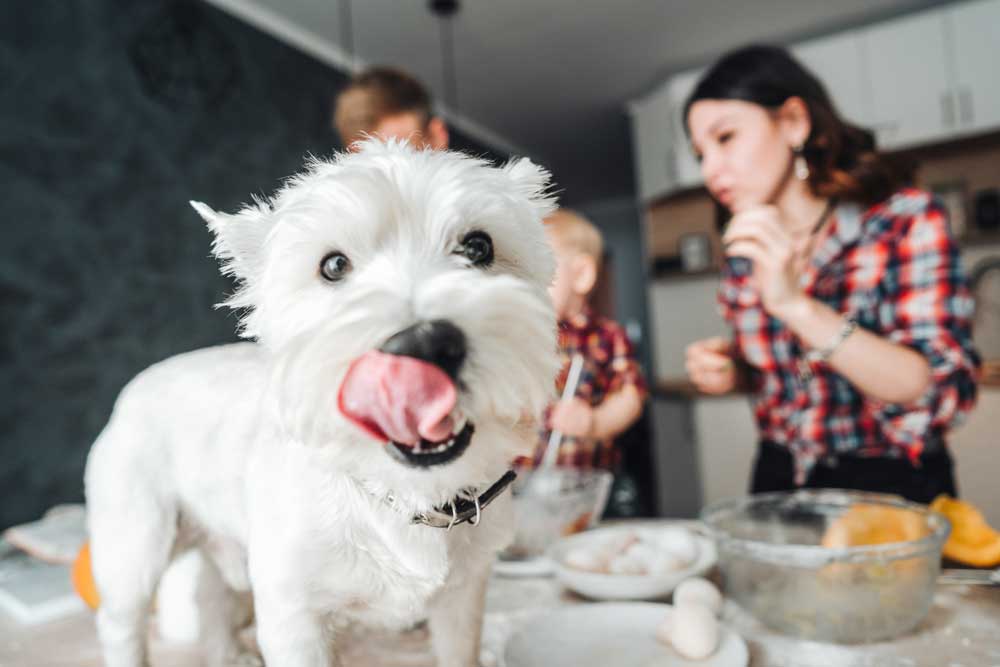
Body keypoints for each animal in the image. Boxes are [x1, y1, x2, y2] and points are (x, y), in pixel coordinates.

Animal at [84, 138, 564, 664]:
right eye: (333, 266)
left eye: (479, 246)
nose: (422, 345)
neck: (402, 494)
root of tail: (134, 387)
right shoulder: (294, 615)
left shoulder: (463, 598)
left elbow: (460, 651)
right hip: (135, 544)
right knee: (121, 621)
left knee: (212, 595)